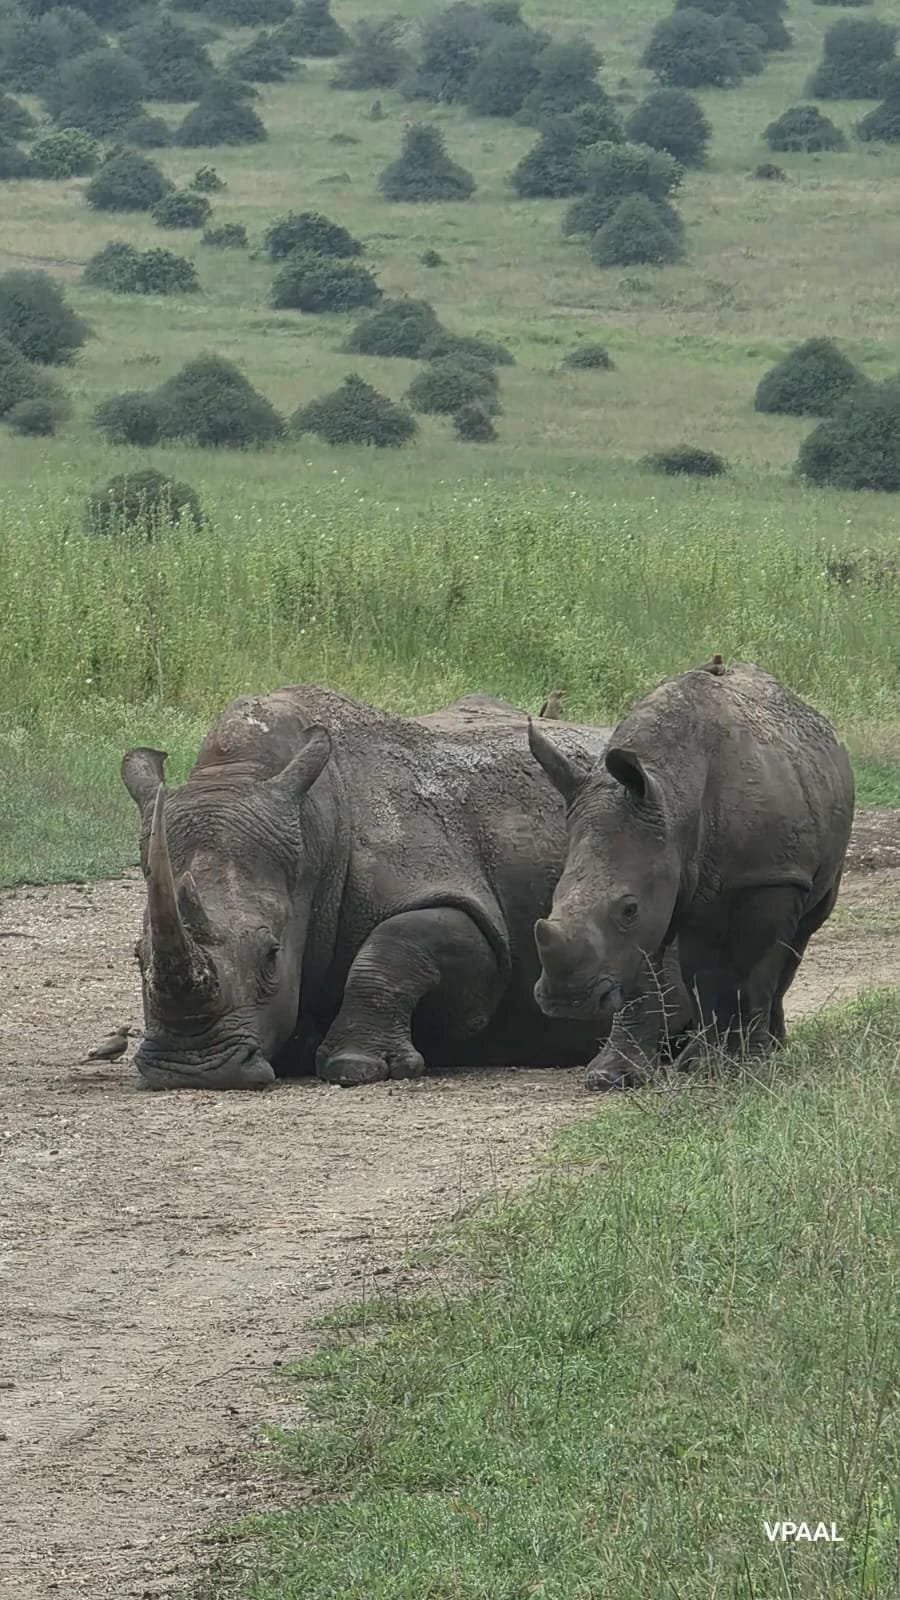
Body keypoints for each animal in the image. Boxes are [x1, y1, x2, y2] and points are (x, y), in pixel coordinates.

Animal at [121, 686, 611, 1090]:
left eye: (272, 956)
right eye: (139, 957)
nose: (191, 1069)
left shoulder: (461, 905)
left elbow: (400, 947)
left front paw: (356, 1067)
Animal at [528, 661, 854, 1089]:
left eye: (628, 909)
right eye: (553, 898)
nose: (568, 1002)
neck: (673, 792)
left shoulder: (771, 876)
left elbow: (756, 970)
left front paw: (752, 1066)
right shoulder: (664, 871)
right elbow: (665, 972)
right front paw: (626, 1076)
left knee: (797, 938)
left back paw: (769, 1049)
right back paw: (704, 1058)